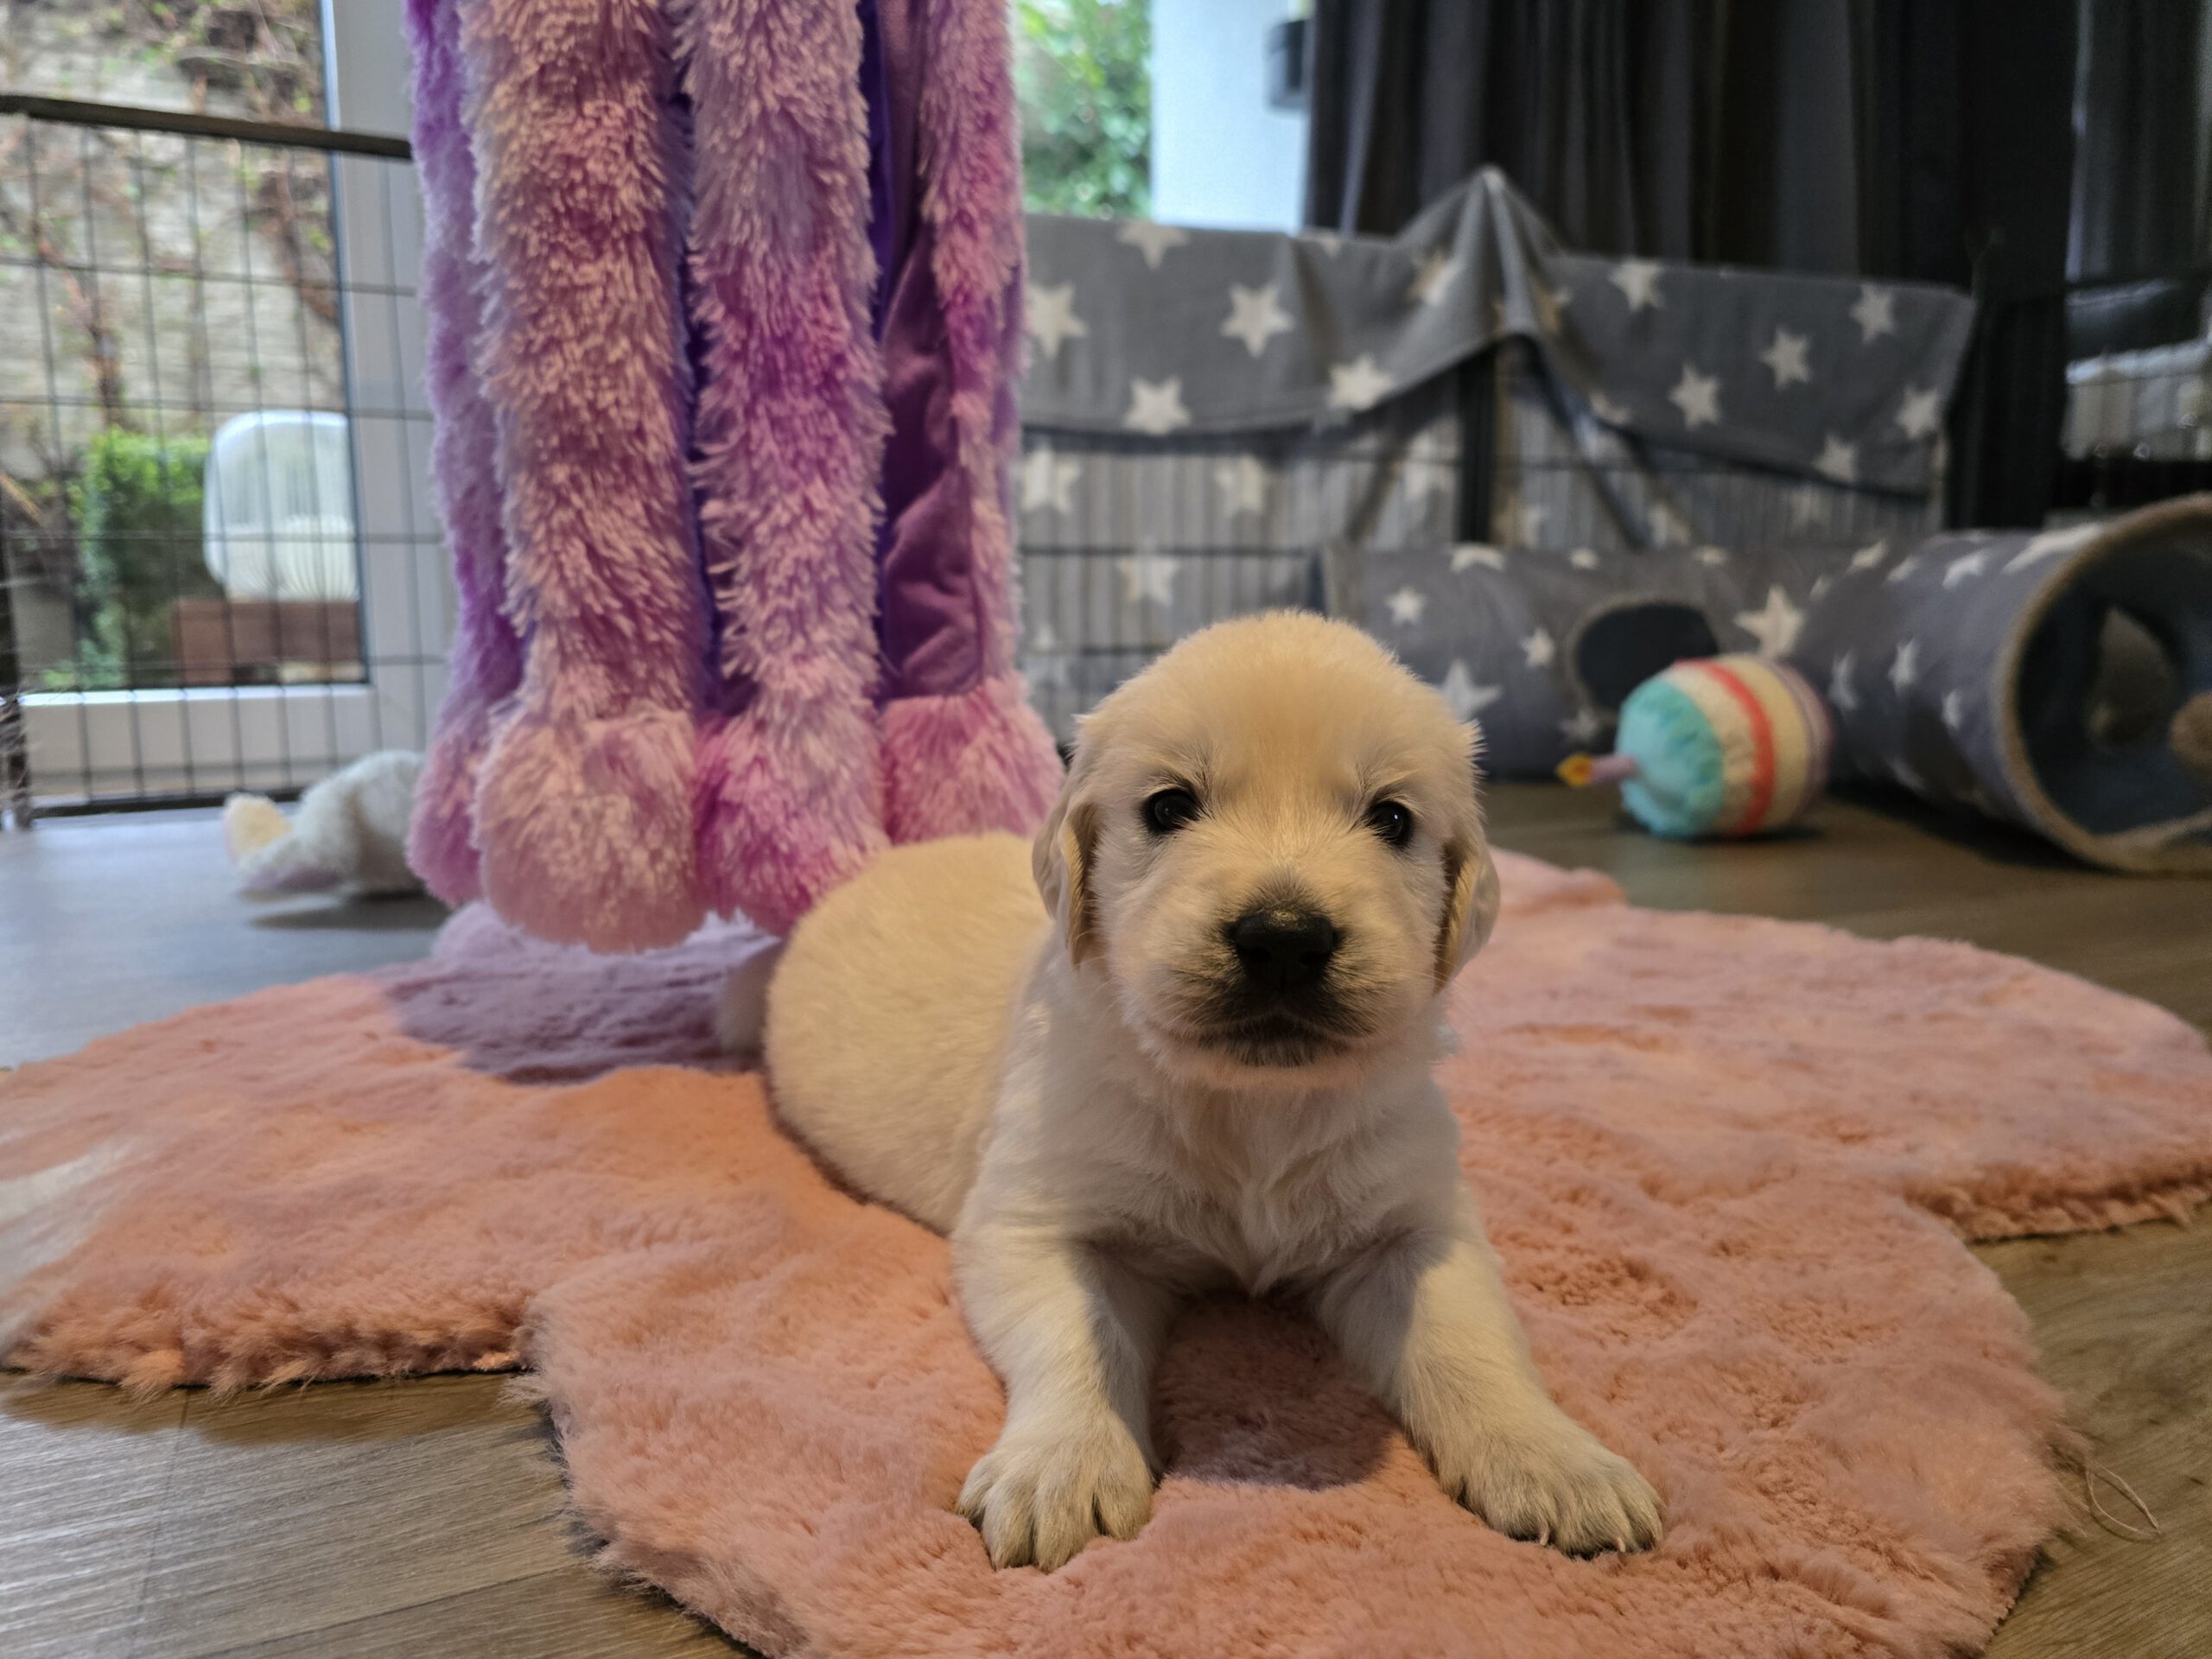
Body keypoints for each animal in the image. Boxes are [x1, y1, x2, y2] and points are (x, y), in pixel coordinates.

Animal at [720, 612, 1661, 1570]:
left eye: (1392, 818)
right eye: (1168, 807)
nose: (1284, 939)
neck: (1247, 1104)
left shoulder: (1416, 1223)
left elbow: (1471, 1336)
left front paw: (1556, 1460)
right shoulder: (1036, 1219)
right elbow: (1074, 1332)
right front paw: (1061, 1467)